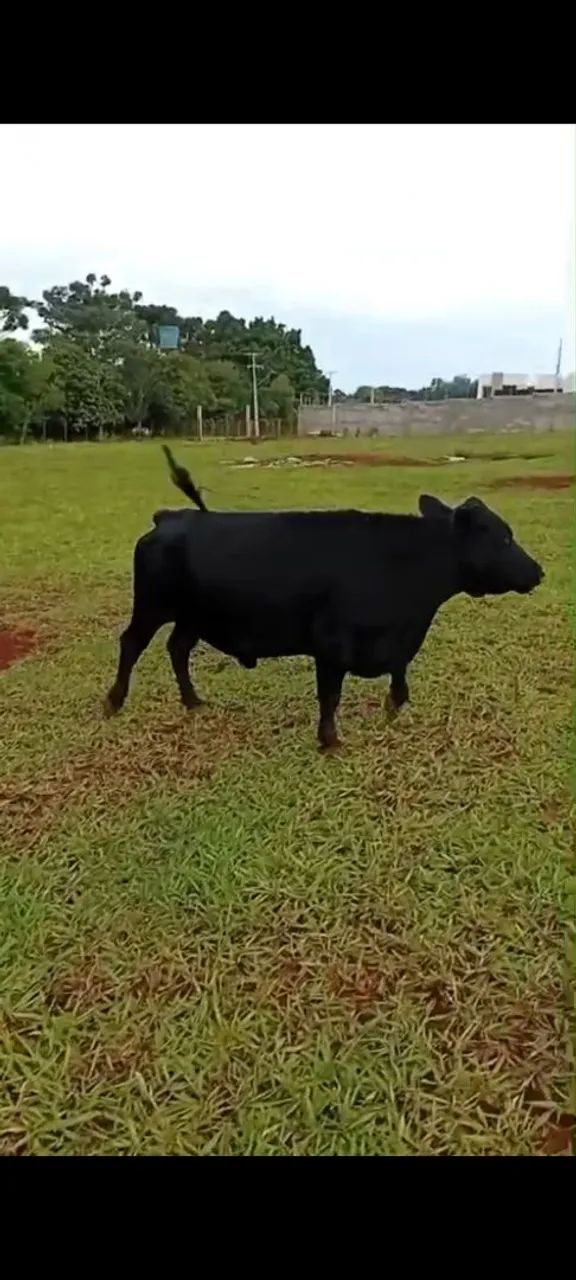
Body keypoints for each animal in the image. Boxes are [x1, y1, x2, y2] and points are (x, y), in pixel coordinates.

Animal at [104, 446, 544, 749]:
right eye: (505, 538)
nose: (539, 572)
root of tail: (172, 516)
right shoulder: (331, 643)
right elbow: (330, 693)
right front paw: (330, 740)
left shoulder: (394, 639)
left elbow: (399, 671)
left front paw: (393, 705)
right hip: (152, 606)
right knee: (131, 644)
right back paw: (114, 702)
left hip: (193, 615)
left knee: (177, 648)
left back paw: (193, 701)